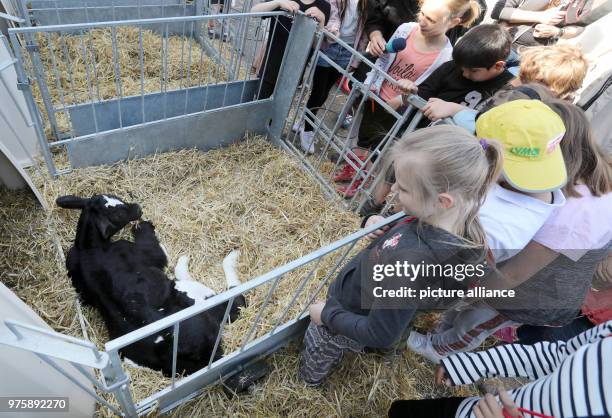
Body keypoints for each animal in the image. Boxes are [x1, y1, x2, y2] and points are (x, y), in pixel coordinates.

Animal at [56, 195, 245, 376]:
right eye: (118, 213)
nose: (138, 208)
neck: (87, 247)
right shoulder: (144, 252)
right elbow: (157, 250)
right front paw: (142, 226)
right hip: (191, 293)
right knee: (237, 302)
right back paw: (227, 257)